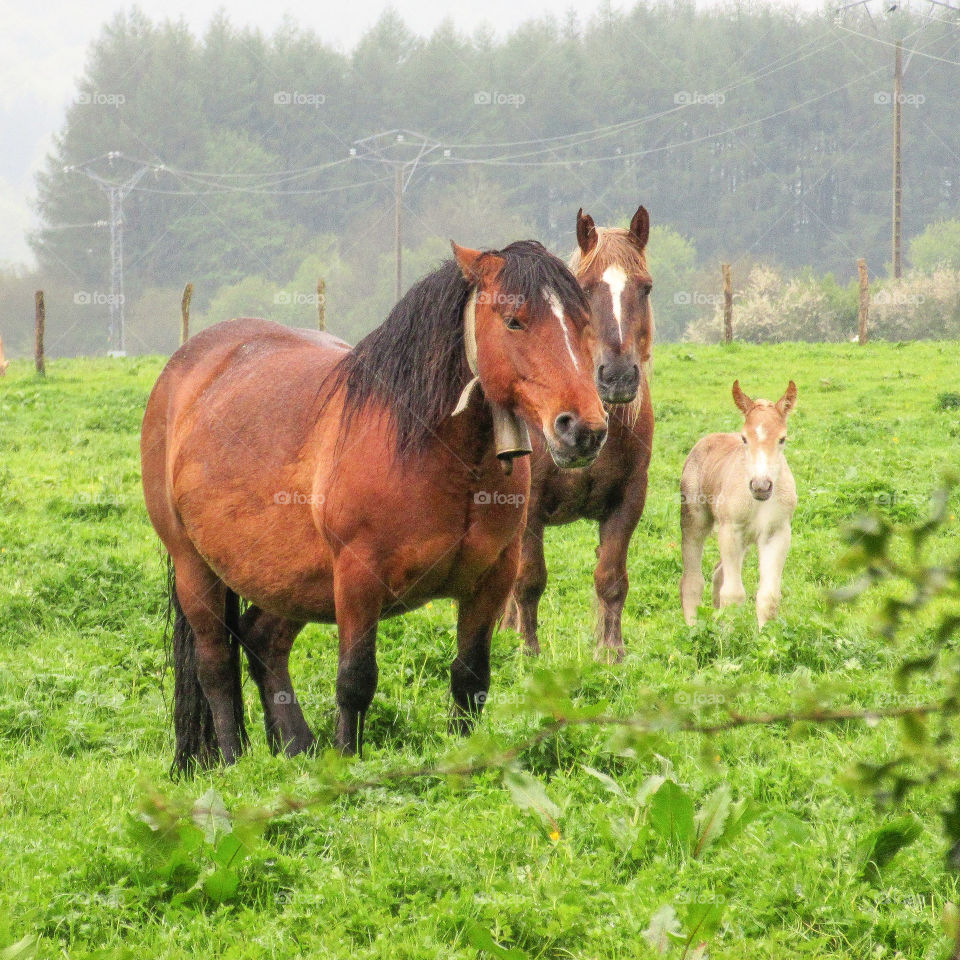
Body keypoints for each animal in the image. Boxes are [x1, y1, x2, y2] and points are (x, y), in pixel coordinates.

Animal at [141, 240, 608, 774]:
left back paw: (297, 749)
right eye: (514, 321)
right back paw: (236, 761)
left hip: (295, 580)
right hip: (196, 565)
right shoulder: (358, 577)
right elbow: (355, 680)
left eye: (584, 322)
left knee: (262, 641)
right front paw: (346, 765)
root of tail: (185, 368)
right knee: (215, 662)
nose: (583, 429)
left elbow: (471, 680)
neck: (435, 452)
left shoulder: (492, 579)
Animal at [501, 206, 655, 662]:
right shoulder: (531, 505)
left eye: (646, 288)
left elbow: (611, 578)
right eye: (584, 290)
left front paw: (612, 651)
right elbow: (530, 580)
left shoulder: (627, 500)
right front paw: (528, 650)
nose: (618, 376)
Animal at [679, 380, 798, 628]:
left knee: (717, 573)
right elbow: (733, 595)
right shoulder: (730, 531)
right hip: (695, 521)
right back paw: (693, 628)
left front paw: (766, 638)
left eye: (782, 439)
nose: (761, 486)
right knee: (692, 580)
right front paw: (730, 637)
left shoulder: (777, 534)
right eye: (744, 438)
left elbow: (769, 597)